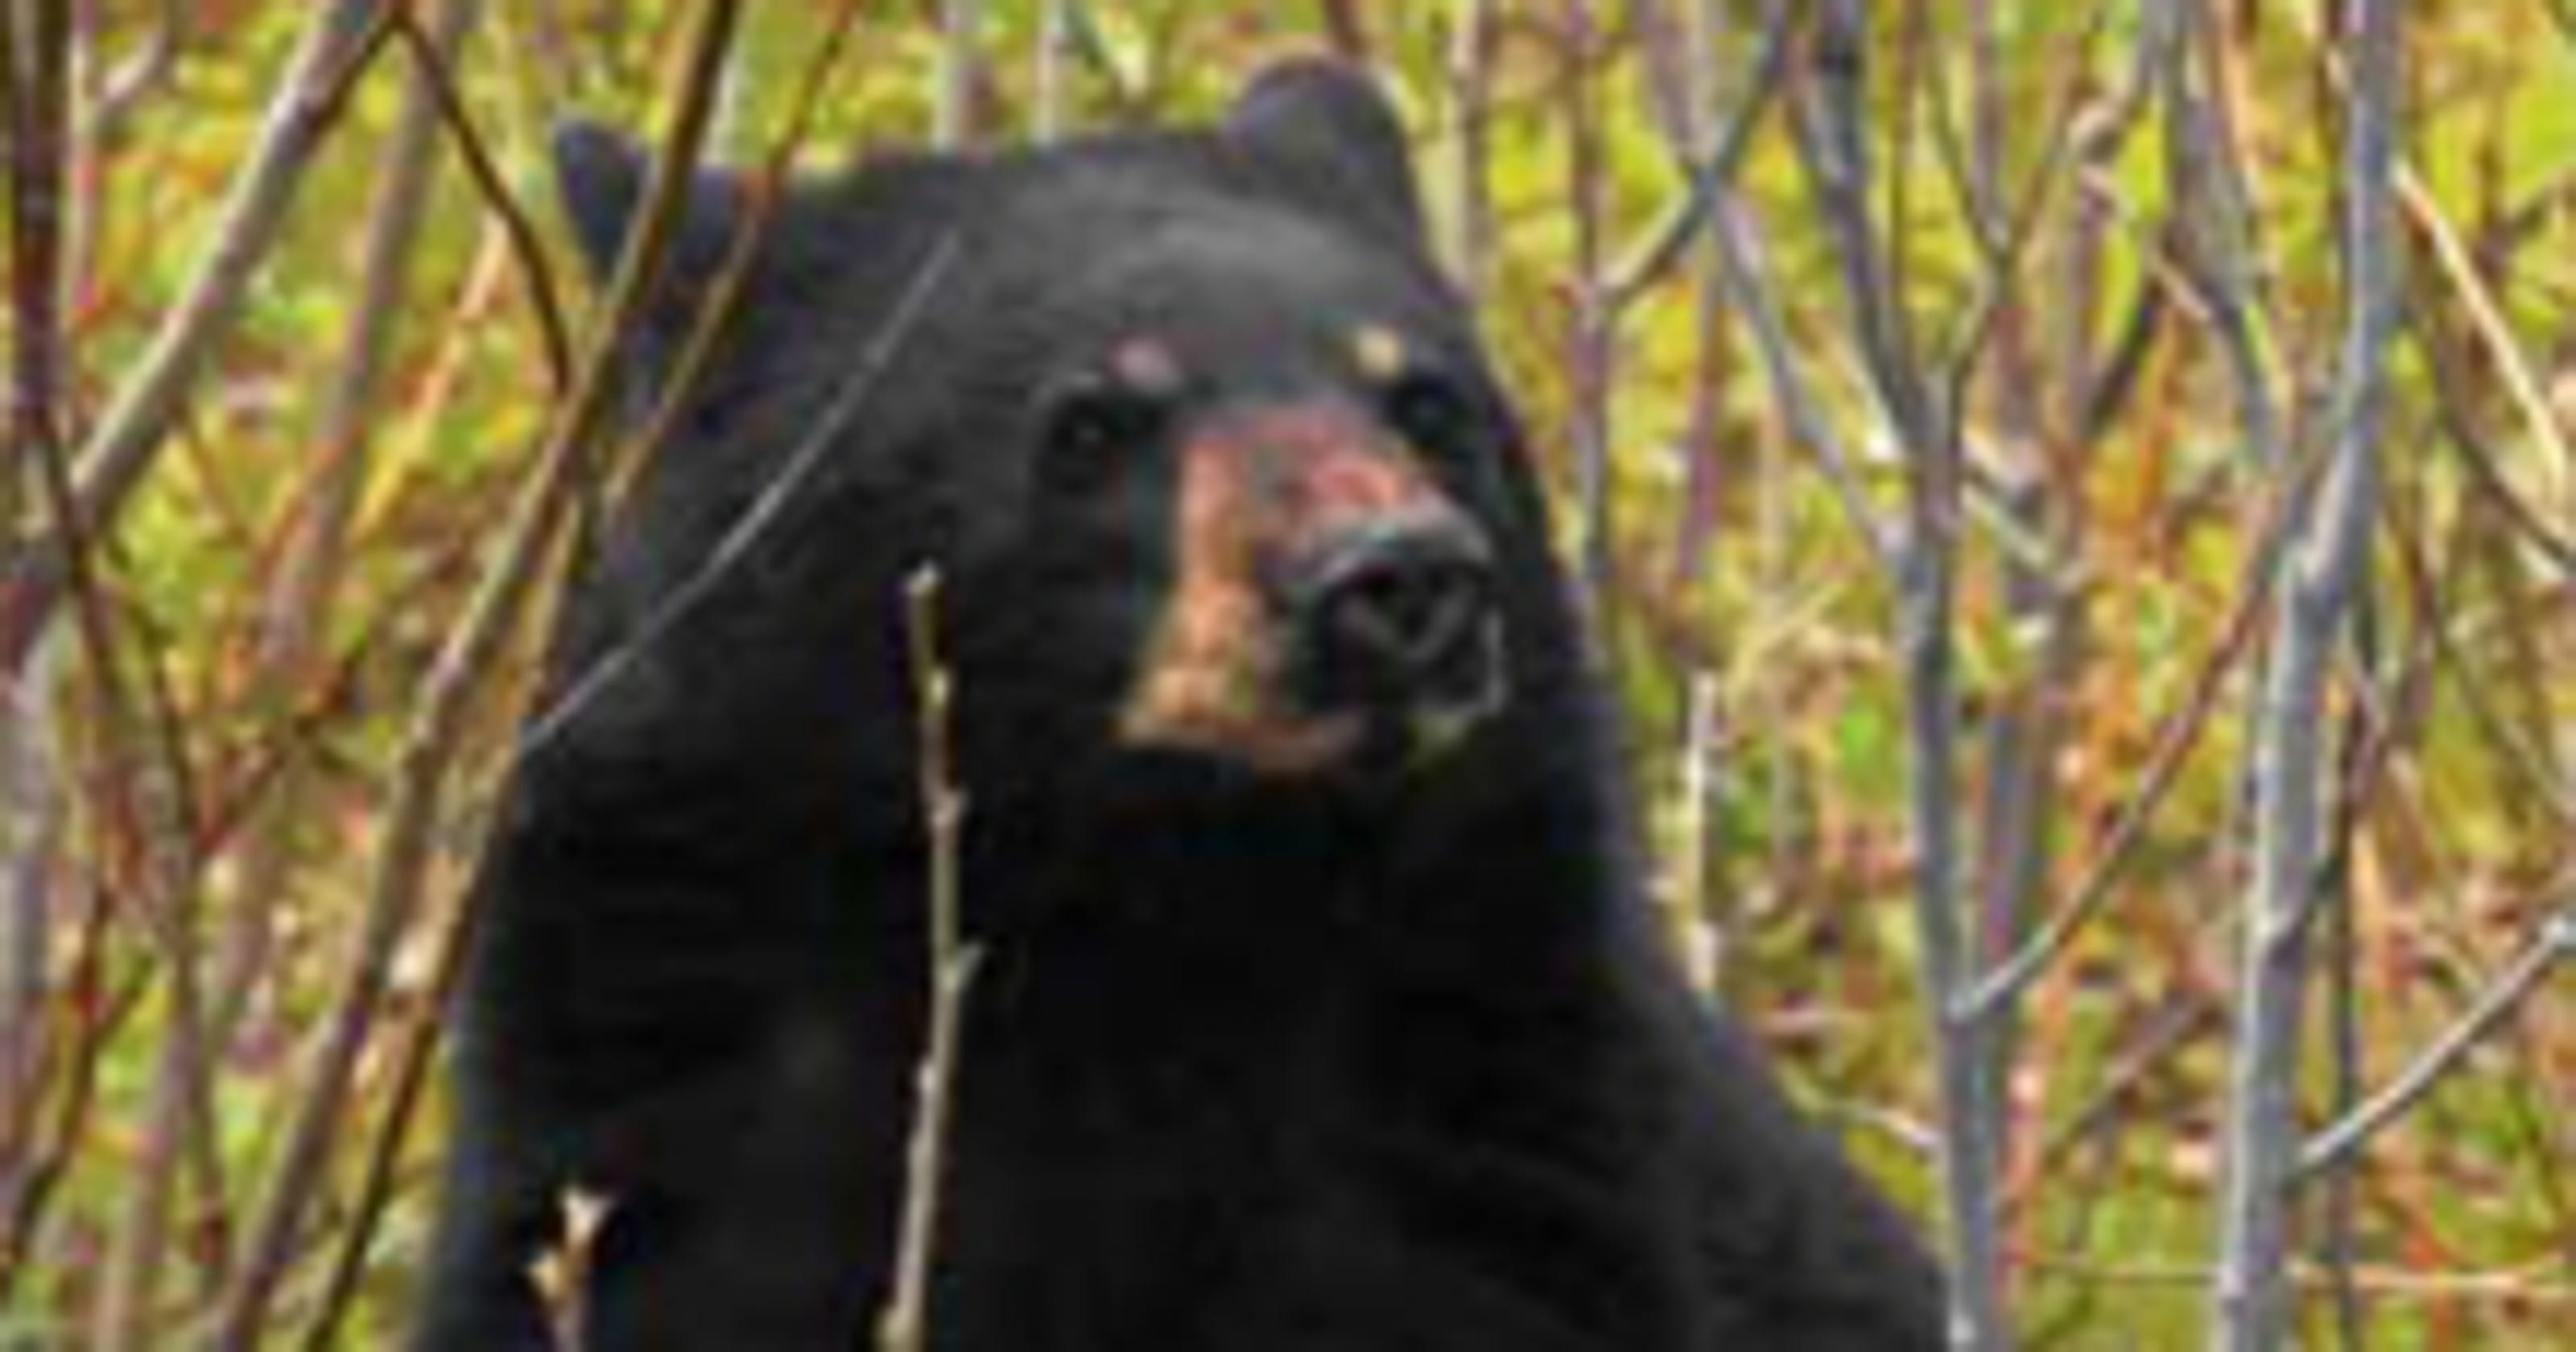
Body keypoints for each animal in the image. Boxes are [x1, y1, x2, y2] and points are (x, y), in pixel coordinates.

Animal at [414, 59, 1945, 1352]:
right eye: (1092, 424)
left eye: (1426, 403)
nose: (1400, 579)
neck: (1131, 912)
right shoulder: (676, 1077)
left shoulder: (1487, 1135)